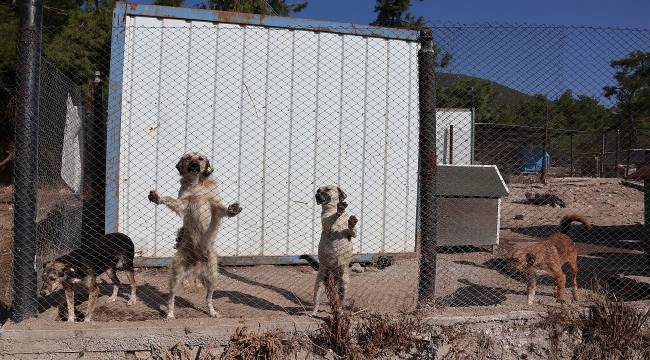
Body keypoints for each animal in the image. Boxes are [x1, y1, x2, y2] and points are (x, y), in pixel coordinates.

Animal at [148, 152, 242, 318]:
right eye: (187, 157)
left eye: (201, 158)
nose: (193, 164)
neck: (196, 185)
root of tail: (196, 265)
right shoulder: (183, 203)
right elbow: (170, 199)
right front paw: (157, 198)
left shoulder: (215, 205)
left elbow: (222, 209)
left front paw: (232, 210)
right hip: (177, 274)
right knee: (171, 297)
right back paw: (170, 314)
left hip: (212, 276)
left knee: (208, 298)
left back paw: (212, 312)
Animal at [312, 186, 356, 316]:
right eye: (318, 190)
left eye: (327, 189)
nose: (316, 194)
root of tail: (332, 272)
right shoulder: (326, 221)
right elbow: (330, 219)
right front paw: (339, 210)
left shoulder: (351, 233)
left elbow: (352, 231)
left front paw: (352, 222)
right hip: (319, 283)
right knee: (316, 300)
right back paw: (313, 312)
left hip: (344, 283)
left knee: (340, 301)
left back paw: (340, 311)